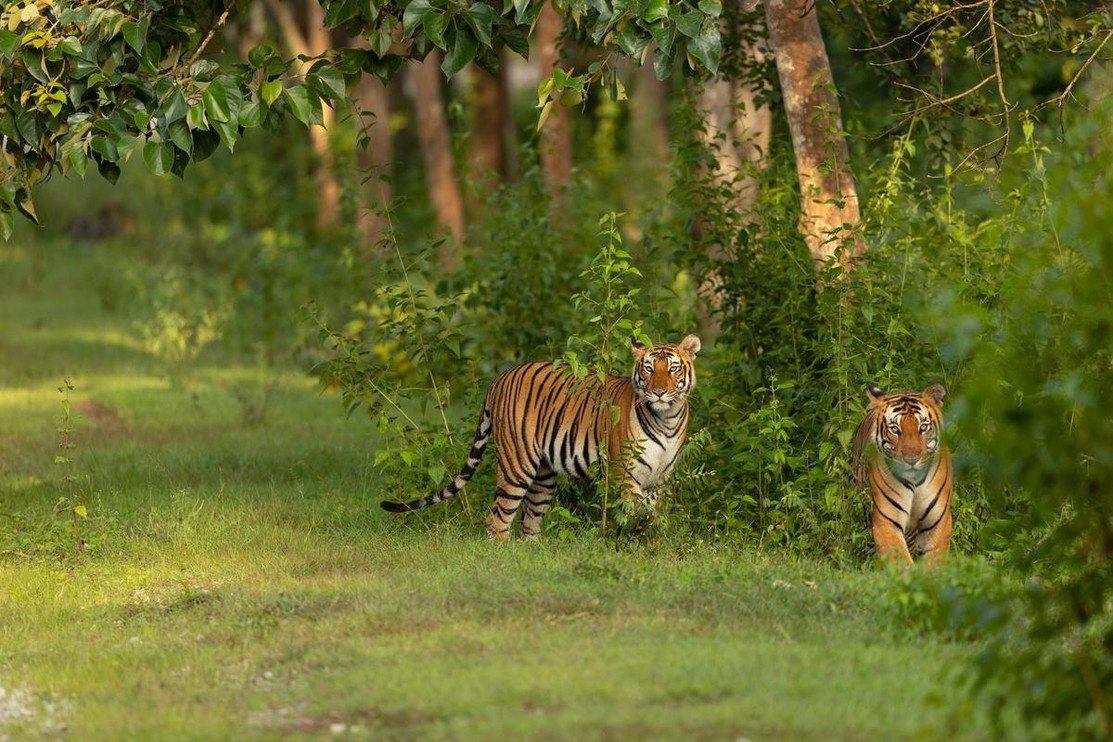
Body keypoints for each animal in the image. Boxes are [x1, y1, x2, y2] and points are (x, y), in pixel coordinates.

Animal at [381, 335, 702, 540]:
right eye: (648, 368)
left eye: (673, 368)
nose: (658, 392)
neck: (667, 419)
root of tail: (500, 377)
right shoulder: (625, 474)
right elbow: (638, 516)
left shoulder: (660, 479)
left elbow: (652, 516)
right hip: (516, 465)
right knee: (497, 518)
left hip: (544, 475)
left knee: (529, 521)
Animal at [851, 382, 953, 567]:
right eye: (894, 429)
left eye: (923, 427)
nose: (911, 460)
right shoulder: (886, 521)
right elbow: (900, 561)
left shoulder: (939, 521)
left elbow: (934, 562)